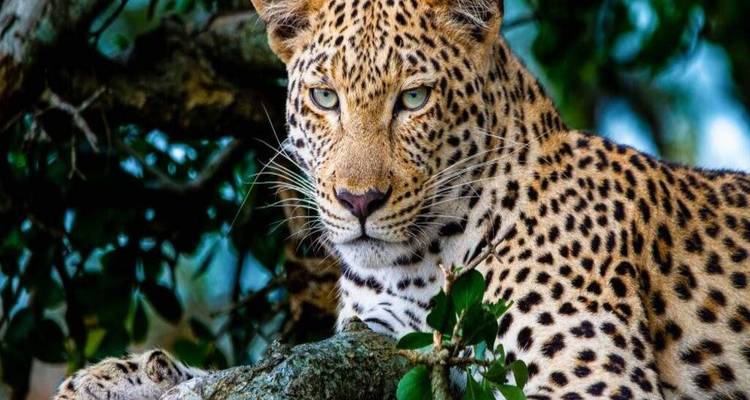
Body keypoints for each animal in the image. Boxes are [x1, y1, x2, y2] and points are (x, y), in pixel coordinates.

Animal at [56, 0, 750, 399]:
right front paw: (108, 377)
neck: (422, 259)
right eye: (325, 98)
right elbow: (238, 375)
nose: (357, 201)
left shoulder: (593, 381)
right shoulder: (386, 332)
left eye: (413, 99)